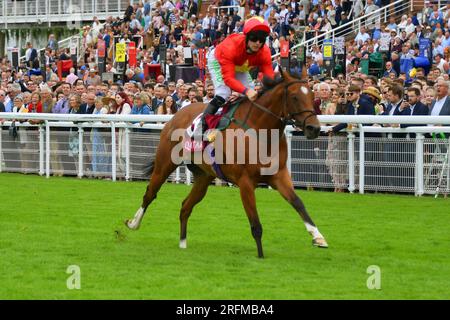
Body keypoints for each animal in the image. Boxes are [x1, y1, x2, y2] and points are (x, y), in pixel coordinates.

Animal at [125, 69, 328, 258]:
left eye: (312, 96)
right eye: (294, 97)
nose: (314, 128)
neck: (261, 131)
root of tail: (176, 115)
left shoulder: (279, 175)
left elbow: (298, 203)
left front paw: (318, 237)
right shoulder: (245, 182)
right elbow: (255, 224)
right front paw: (261, 256)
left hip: (203, 177)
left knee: (185, 206)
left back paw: (183, 243)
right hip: (164, 164)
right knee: (150, 194)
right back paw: (133, 223)